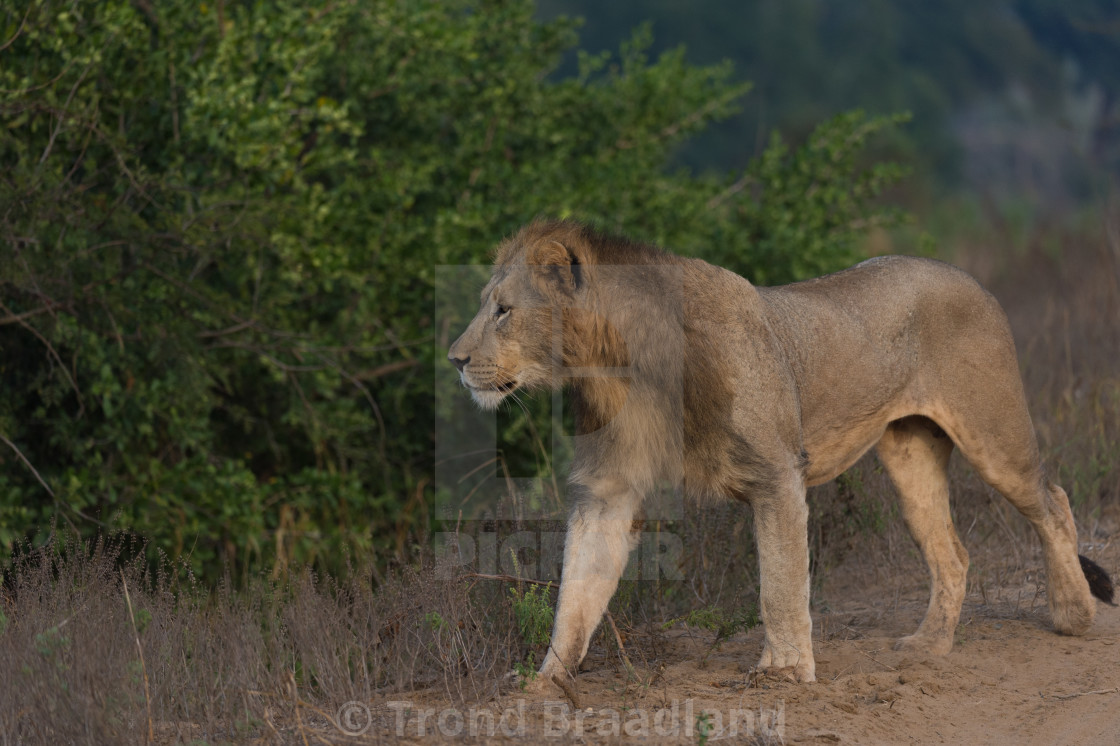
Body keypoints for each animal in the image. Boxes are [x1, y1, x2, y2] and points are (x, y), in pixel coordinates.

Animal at [445, 218, 1111, 681]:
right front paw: (546, 682)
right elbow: (577, 590)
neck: (620, 362)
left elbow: (781, 583)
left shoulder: (776, 474)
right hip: (910, 455)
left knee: (1054, 501)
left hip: (993, 433)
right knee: (953, 551)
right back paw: (929, 647)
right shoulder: (608, 488)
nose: (454, 359)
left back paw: (1074, 615)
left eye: (503, 311)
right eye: (484, 306)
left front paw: (787, 673)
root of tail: (969, 275)